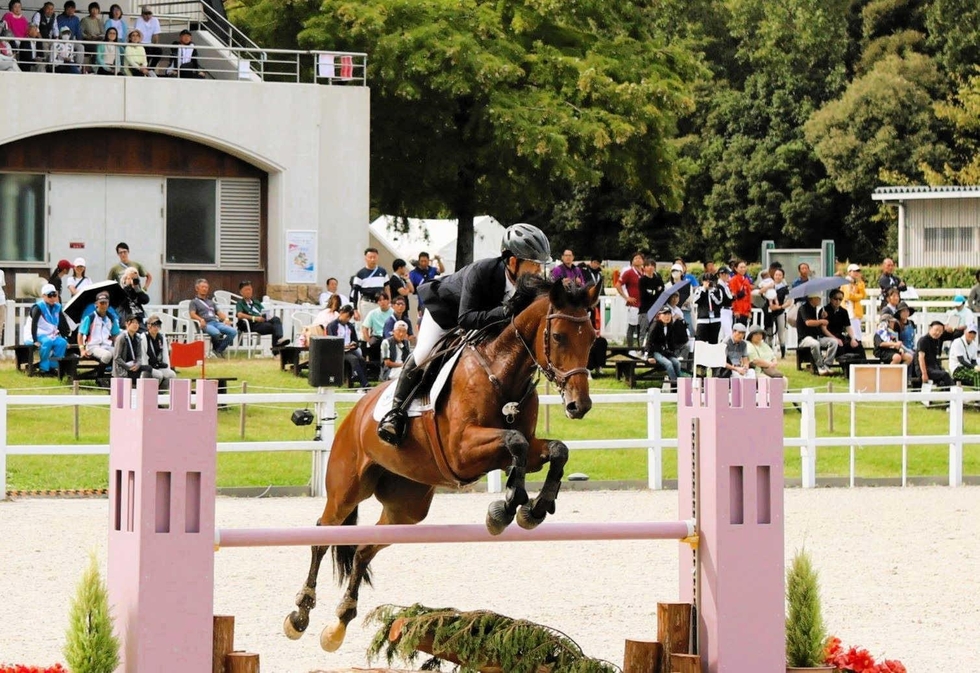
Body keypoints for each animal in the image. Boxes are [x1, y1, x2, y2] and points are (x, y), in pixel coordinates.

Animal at [283, 274, 602, 652]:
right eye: (558, 336)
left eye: (592, 338)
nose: (579, 405)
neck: (502, 372)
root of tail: (354, 412)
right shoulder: (461, 451)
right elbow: (515, 443)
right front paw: (506, 508)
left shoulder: (517, 446)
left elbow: (553, 449)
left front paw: (534, 507)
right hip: (347, 488)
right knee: (323, 533)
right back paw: (300, 614)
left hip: (407, 509)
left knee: (363, 549)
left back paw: (340, 622)